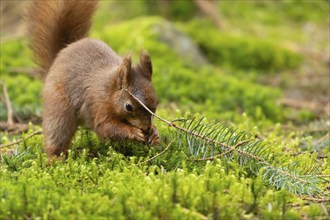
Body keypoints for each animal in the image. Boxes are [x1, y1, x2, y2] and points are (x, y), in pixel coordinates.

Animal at [29, 0, 160, 159]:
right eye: (128, 107)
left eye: (156, 102)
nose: (146, 128)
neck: (109, 91)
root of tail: (58, 56)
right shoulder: (97, 104)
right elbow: (105, 127)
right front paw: (133, 132)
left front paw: (154, 133)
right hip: (59, 108)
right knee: (57, 133)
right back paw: (56, 158)